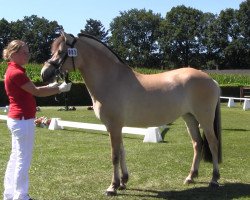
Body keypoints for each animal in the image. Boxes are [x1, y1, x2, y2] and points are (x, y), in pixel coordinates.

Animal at [40, 31, 222, 195]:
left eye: (61, 51)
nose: (44, 74)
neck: (111, 79)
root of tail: (211, 79)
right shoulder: (115, 127)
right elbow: (122, 152)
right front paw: (123, 182)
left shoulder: (114, 126)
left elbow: (114, 155)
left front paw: (112, 187)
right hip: (189, 118)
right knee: (197, 143)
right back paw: (190, 177)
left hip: (205, 119)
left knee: (212, 144)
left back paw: (214, 179)